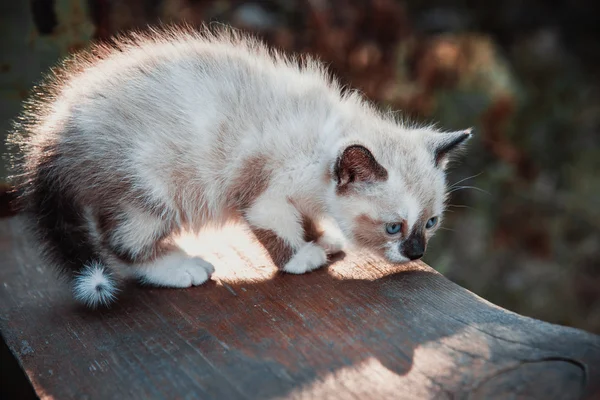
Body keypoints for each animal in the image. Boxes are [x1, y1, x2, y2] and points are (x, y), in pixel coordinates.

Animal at [7, 25, 472, 308]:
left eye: (430, 223)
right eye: (393, 227)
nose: (416, 253)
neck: (320, 145)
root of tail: (51, 135)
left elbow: (307, 218)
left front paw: (322, 238)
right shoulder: (265, 194)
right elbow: (276, 228)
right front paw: (302, 257)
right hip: (149, 191)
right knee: (123, 243)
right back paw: (180, 267)